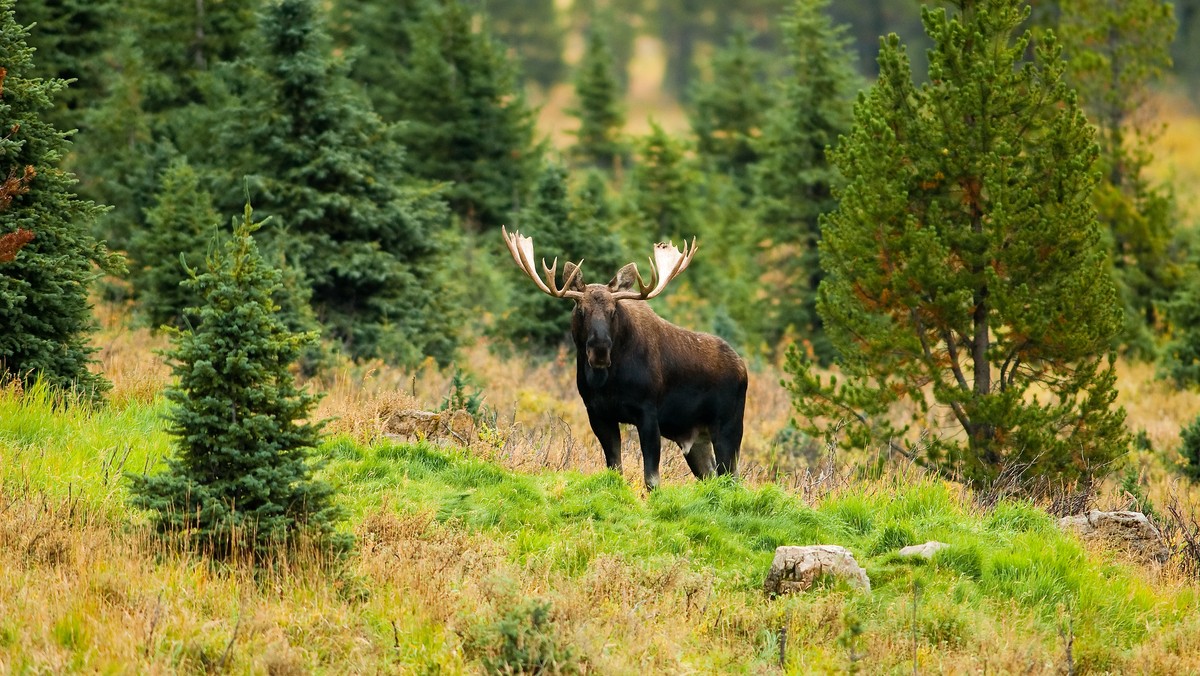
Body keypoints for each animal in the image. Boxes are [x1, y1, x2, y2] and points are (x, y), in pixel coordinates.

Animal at [501, 229, 744, 492]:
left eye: (613, 310)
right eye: (580, 309)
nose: (599, 351)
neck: (609, 383)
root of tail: (743, 367)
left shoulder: (648, 412)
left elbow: (651, 479)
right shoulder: (598, 413)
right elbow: (615, 469)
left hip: (729, 428)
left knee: (732, 479)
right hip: (696, 439)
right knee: (712, 477)